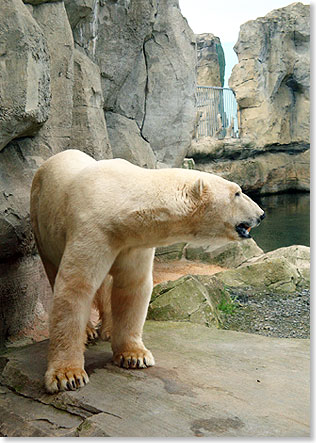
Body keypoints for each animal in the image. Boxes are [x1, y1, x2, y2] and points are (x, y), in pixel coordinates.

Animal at [31, 151, 264, 394]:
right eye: (237, 192)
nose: (261, 214)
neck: (122, 206)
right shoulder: (94, 229)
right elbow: (76, 287)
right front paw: (67, 375)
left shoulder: (134, 243)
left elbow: (133, 286)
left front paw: (134, 355)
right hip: (41, 224)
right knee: (54, 268)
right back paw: (88, 331)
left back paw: (108, 330)